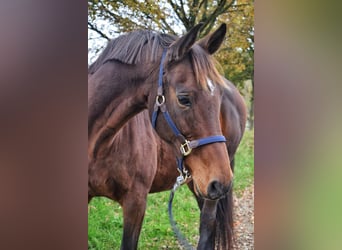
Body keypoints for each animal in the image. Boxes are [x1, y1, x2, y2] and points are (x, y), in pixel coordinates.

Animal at [87, 24, 244, 249]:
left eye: (219, 98)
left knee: (207, 224)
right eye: (183, 99)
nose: (222, 181)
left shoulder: (136, 202)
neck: (100, 145)